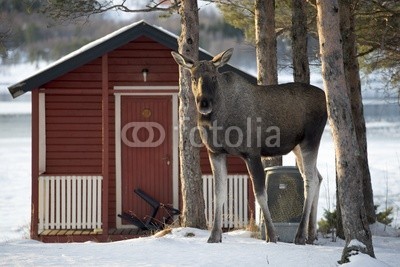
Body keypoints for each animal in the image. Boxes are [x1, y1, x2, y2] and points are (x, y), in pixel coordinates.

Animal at [172, 49, 328, 246]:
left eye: (214, 77)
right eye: (193, 77)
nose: (204, 103)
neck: (218, 122)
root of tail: (325, 100)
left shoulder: (251, 152)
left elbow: (260, 194)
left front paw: (272, 235)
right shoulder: (215, 152)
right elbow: (218, 193)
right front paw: (214, 236)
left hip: (311, 139)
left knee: (310, 179)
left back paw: (300, 235)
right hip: (297, 146)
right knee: (318, 176)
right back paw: (311, 234)